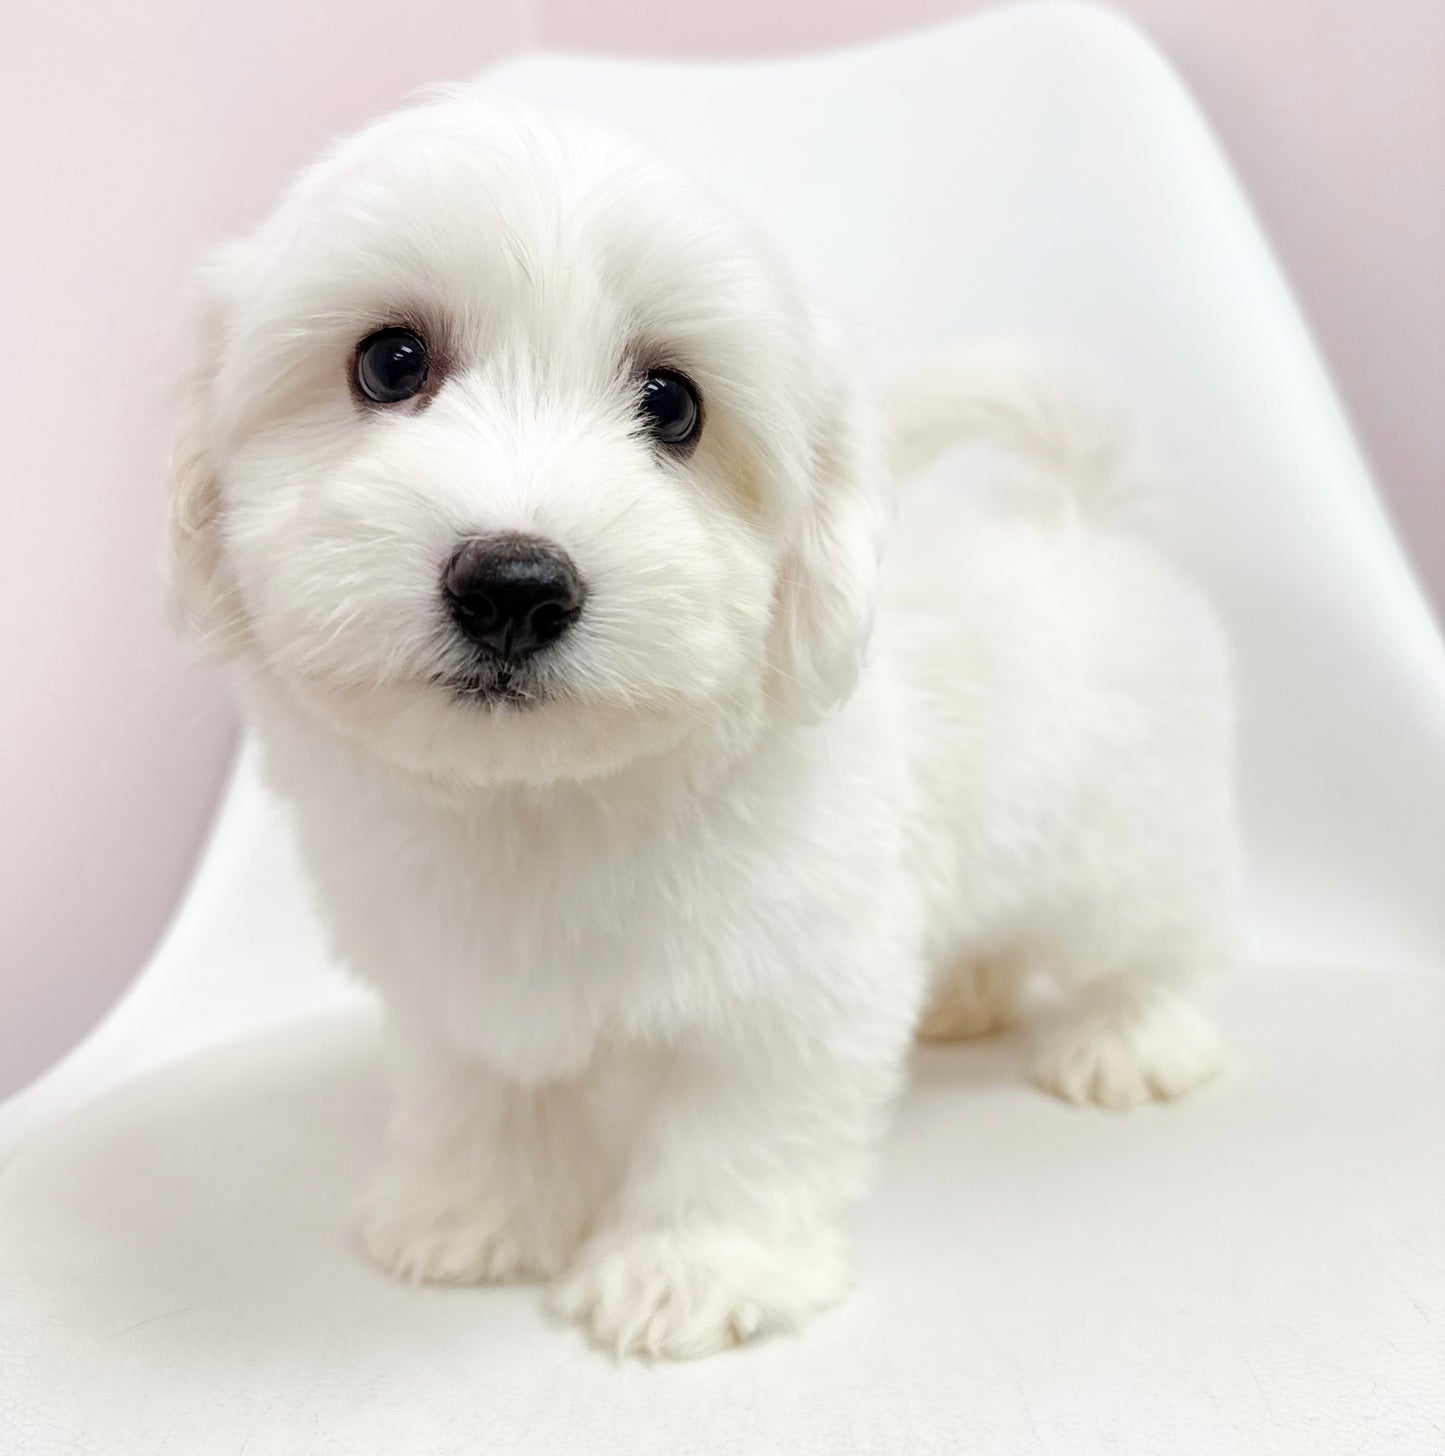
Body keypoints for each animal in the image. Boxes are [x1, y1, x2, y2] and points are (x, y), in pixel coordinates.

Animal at [166, 91, 1229, 1356]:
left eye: (672, 405)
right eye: (388, 361)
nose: (513, 585)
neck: (540, 797)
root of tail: (1073, 521)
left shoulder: (792, 983)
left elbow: (737, 1131)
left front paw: (693, 1267)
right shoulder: (451, 981)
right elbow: (481, 1094)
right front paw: (477, 1209)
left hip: (1132, 836)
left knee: (1160, 937)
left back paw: (1136, 1037)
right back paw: (968, 995)